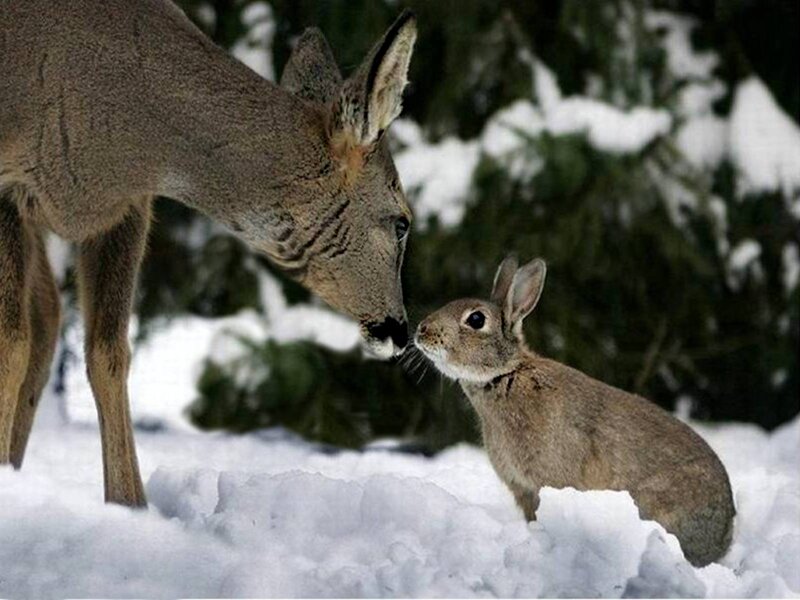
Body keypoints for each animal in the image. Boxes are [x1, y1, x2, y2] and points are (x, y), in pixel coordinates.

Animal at [0, 0, 417, 507]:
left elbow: (109, 354)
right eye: (402, 221)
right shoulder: (8, 184)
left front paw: (130, 506)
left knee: (47, 318)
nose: (400, 330)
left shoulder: (126, 208)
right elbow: (10, 345)